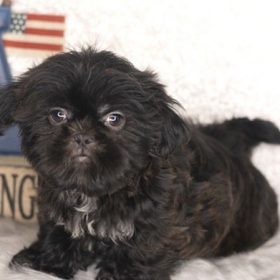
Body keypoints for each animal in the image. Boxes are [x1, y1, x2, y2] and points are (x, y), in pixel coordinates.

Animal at [0, 48, 278, 280]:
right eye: (58, 114)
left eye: (114, 119)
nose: (82, 135)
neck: (95, 191)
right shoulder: (55, 207)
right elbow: (57, 233)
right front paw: (42, 265)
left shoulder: (158, 222)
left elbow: (142, 248)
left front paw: (124, 275)